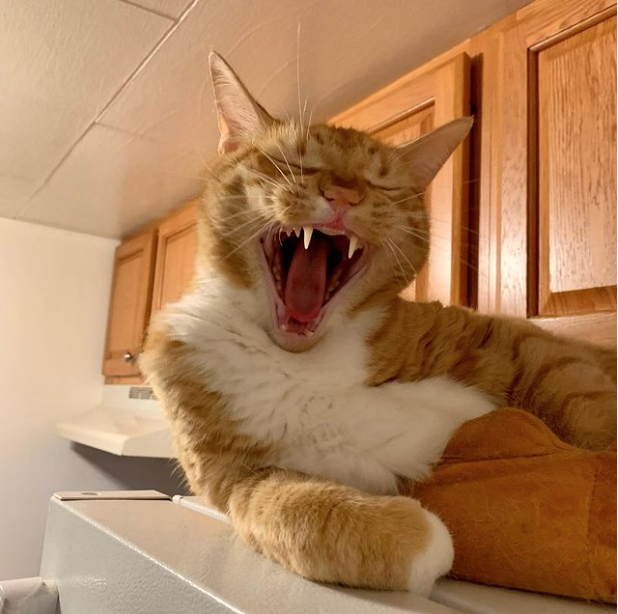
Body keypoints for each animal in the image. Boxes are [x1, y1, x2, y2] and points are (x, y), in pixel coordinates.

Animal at [140, 53, 616, 596]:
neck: (301, 360)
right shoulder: (234, 480)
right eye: (298, 161)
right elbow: (299, 516)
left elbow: (586, 412)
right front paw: (417, 535)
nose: (343, 195)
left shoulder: (520, 342)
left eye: (382, 183)